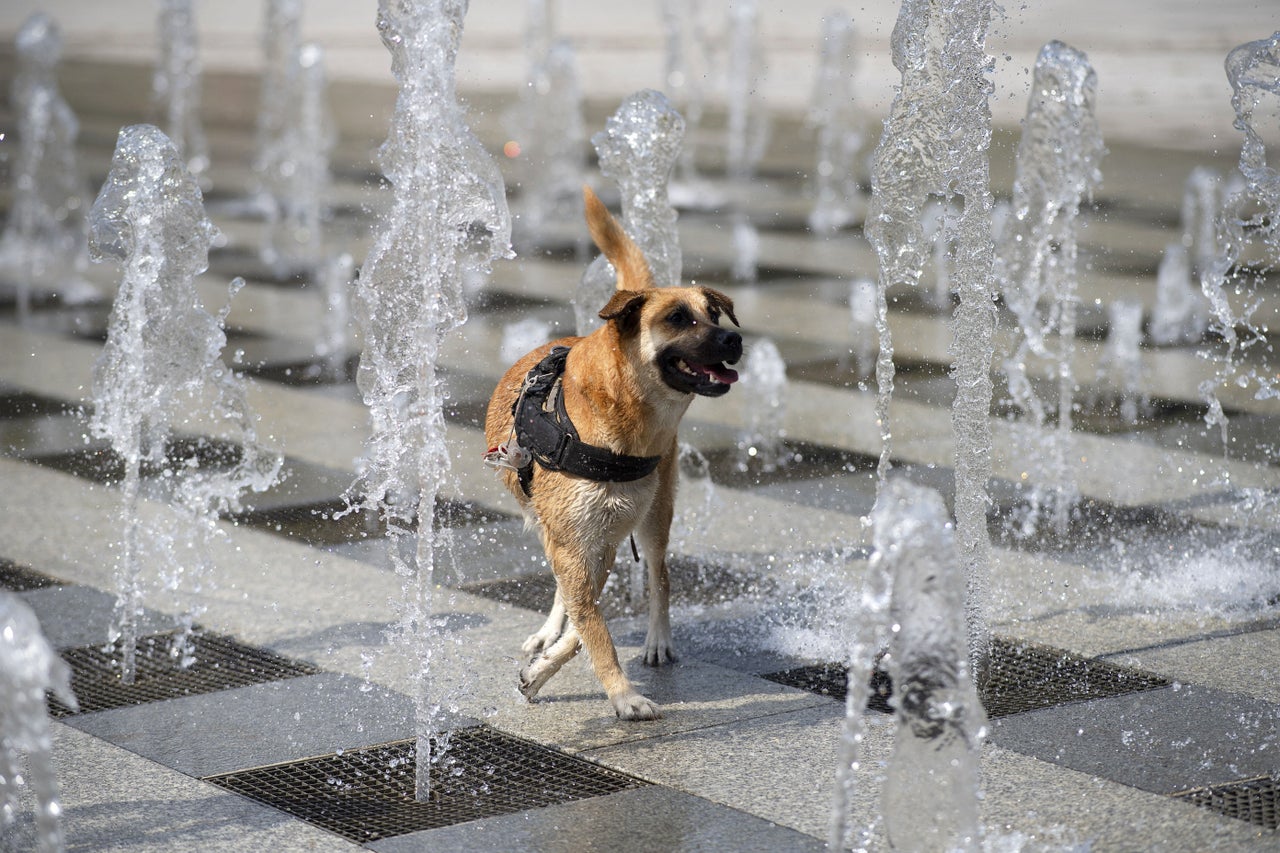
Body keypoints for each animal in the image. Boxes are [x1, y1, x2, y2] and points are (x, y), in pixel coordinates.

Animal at [481, 185, 747, 717]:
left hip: (656, 514)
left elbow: (590, 623)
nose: (734, 337)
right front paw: (619, 692)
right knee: (566, 588)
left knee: (660, 576)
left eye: (714, 315)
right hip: (557, 526)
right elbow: (590, 622)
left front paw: (555, 674)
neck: (623, 422)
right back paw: (550, 631)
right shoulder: (579, 536)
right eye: (677, 318)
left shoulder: (607, 534)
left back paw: (657, 640)